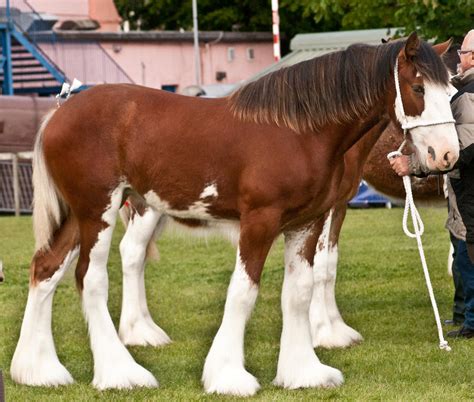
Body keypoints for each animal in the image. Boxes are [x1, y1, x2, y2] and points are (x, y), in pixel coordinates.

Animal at [10, 32, 456, 396]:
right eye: (418, 87)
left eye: (451, 90)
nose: (447, 155)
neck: (298, 131)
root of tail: (60, 111)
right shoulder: (259, 222)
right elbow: (243, 293)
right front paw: (227, 376)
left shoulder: (306, 224)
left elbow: (298, 293)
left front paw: (303, 372)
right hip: (98, 211)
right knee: (91, 279)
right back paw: (121, 372)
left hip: (78, 215)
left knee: (46, 269)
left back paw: (38, 370)